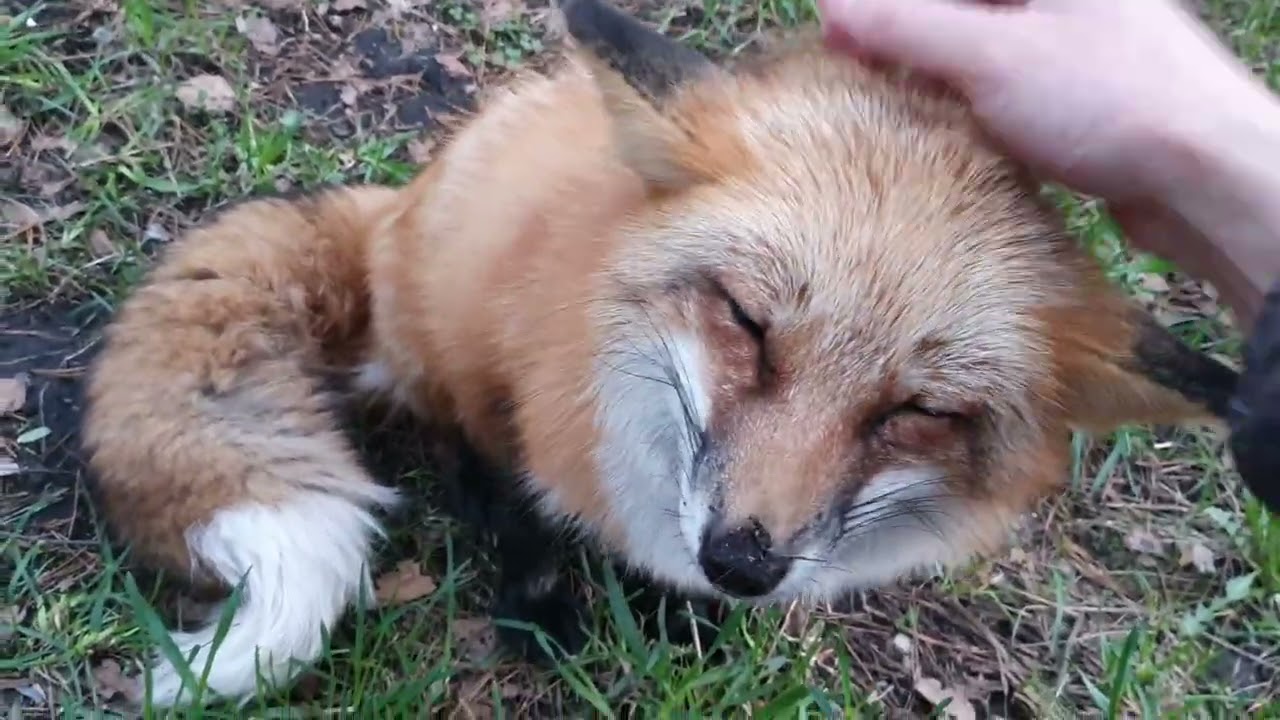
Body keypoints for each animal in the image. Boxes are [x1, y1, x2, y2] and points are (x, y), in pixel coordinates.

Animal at [80, 0, 1240, 709]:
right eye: (748, 324)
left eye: (916, 411)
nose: (742, 564)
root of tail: (396, 208)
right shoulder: (509, 404)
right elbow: (521, 519)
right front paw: (542, 615)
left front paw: (684, 622)